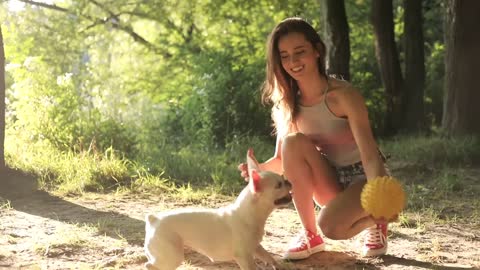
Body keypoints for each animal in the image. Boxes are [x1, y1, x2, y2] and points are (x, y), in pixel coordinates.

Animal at [144, 149, 290, 268]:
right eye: (279, 185)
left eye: (282, 179)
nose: (288, 181)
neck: (248, 213)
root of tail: (154, 220)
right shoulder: (244, 257)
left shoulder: (256, 247)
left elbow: (268, 256)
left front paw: (277, 265)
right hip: (172, 256)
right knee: (150, 266)